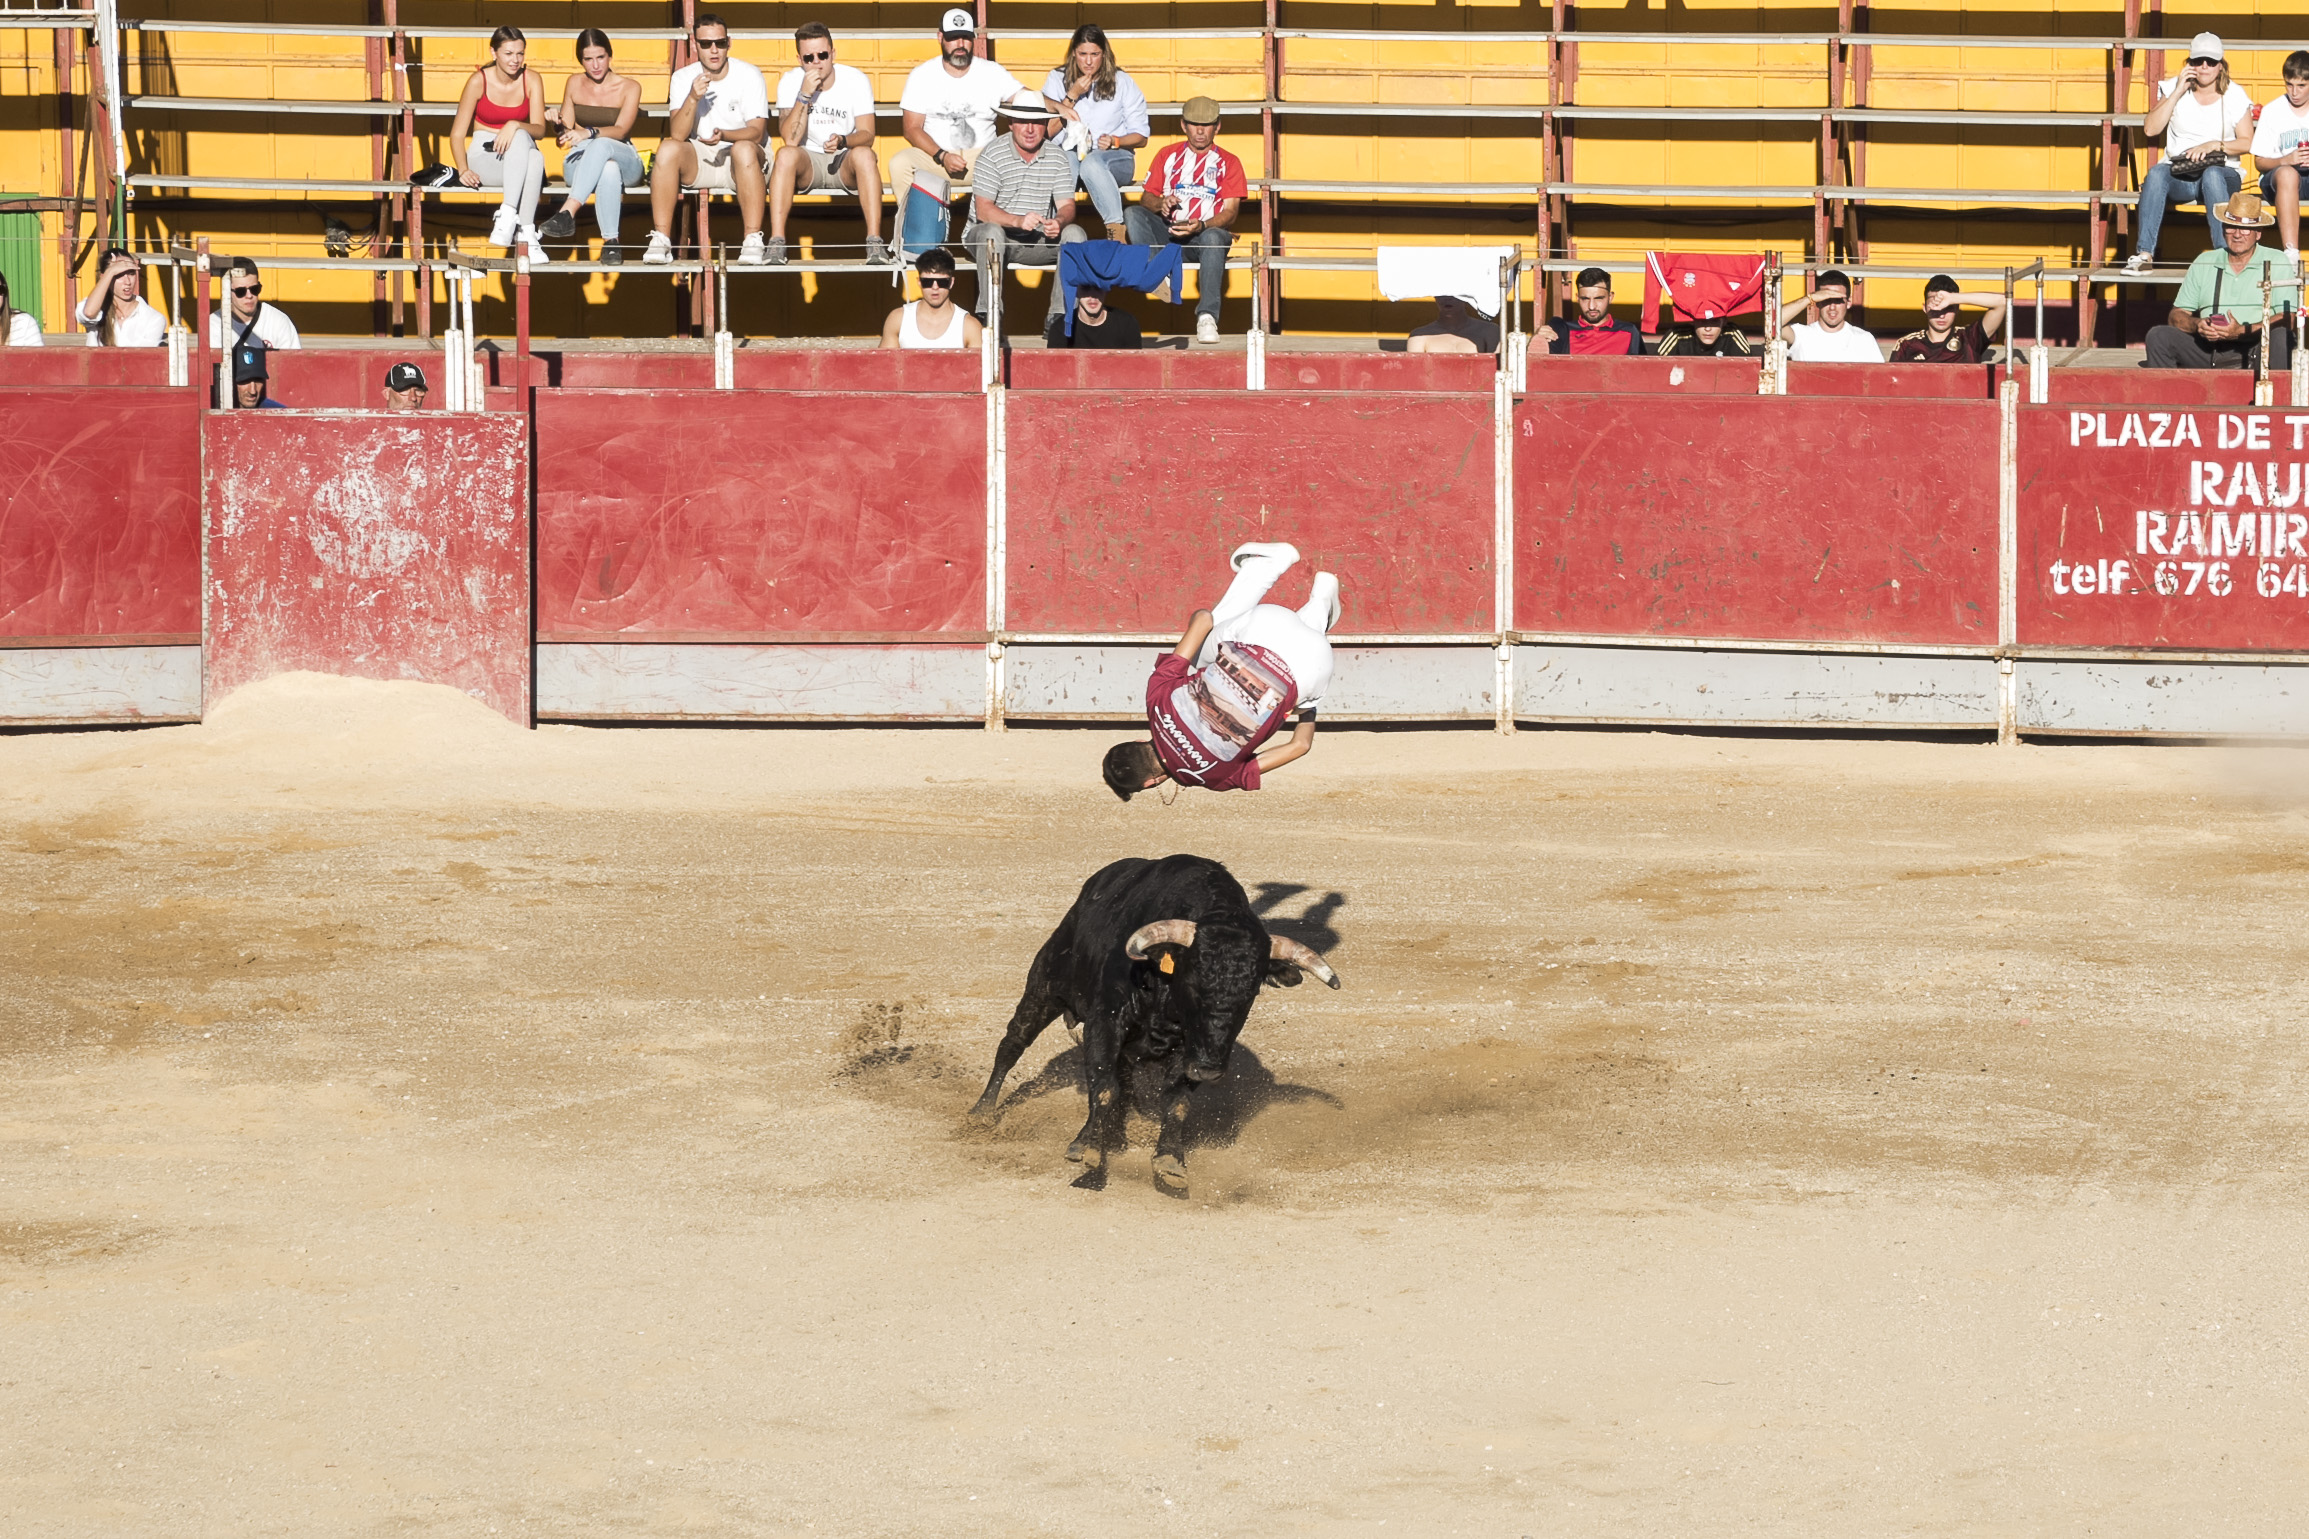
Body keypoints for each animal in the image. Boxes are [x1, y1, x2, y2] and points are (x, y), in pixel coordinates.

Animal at [965, 862, 1348, 1199]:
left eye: (1252, 991)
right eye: (1193, 981)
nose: (1209, 1070)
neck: (1163, 987)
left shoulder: (1189, 1048)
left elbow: (1176, 1103)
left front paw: (1170, 1162)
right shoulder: (1105, 1022)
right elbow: (1104, 1086)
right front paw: (1087, 1147)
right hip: (1044, 986)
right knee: (1013, 1044)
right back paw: (981, 1114)